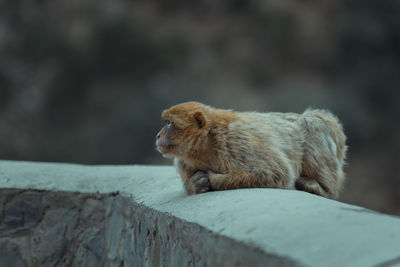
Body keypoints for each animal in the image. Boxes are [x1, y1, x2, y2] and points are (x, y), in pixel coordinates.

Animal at [156, 102, 346, 199]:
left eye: (168, 123)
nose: (158, 135)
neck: (207, 143)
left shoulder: (236, 141)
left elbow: (278, 173)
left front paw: (214, 180)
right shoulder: (184, 162)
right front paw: (195, 184)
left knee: (312, 122)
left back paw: (323, 190)